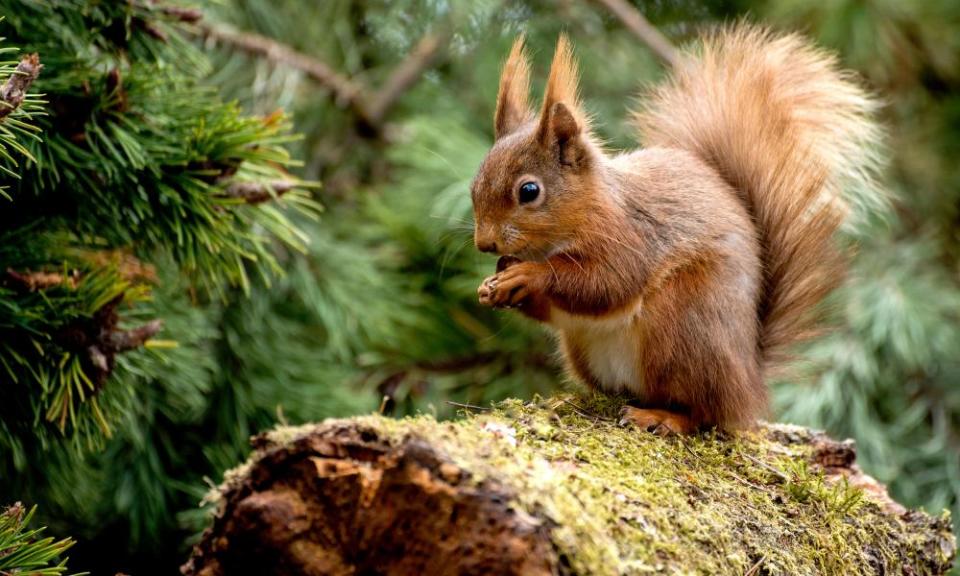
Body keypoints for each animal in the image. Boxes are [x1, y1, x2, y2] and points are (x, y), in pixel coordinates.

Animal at [468, 24, 880, 434]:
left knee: (703, 412)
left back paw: (661, 416)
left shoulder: (630, 237)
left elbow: (606, 283)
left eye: (529, 191)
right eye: (474, 185)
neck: (591, 206)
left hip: (683, 327)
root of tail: (749, 382)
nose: (484, 243)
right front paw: (495, 284)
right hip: (586, 349)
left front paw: (527, 275)